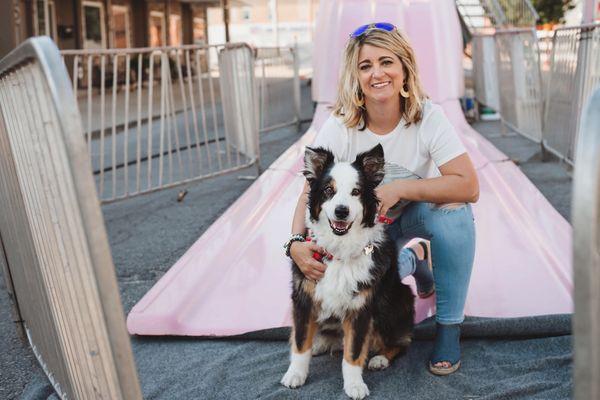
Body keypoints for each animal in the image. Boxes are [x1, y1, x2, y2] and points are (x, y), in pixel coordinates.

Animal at [280, 145, 412, 400]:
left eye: (356, 191)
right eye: (328, 190)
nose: (341, 211)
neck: (338, 251)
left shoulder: (360, 307)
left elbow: (354, 351)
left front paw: (354, 385)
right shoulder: (304, 298)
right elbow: (300, 342)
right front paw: (295, 374)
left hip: (396, 301)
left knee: (402, 341)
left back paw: (380, 358)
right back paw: (320, 343)